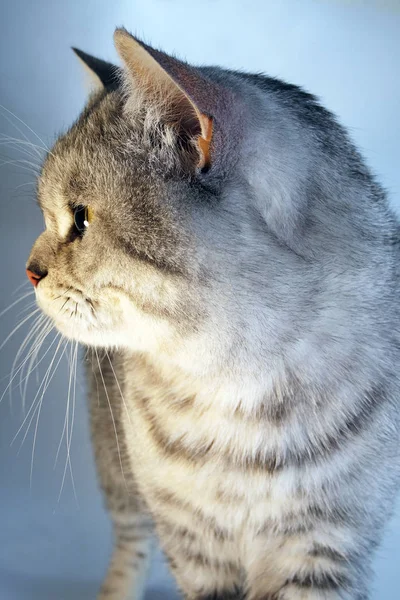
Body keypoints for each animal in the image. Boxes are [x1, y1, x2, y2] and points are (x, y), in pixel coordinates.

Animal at [25, 27, 400, 600]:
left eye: (81, 218)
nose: (29, 271)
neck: (238, 386)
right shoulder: (193, 542)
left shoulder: (327, 541)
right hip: (116, 463)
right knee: (131, 539)